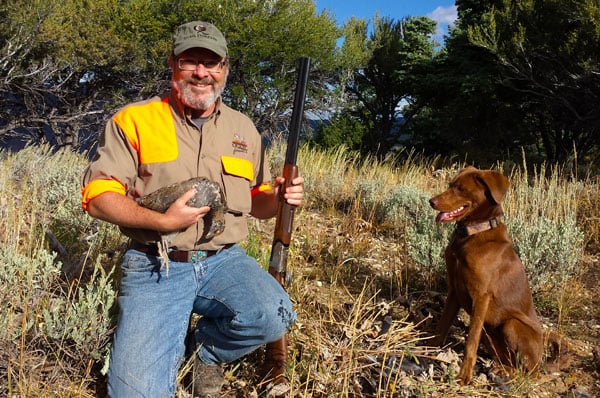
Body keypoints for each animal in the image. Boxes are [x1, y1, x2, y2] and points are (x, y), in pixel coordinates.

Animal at [426, 166, 544, 384]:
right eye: (450, 185)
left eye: (461, 189)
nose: (432, 201)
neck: (473, 234)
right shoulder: (454, 290)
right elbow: (442, 326)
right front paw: (427, 350)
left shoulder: (481, 296)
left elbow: (471, 341)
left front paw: (464, 375)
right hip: (489, 332)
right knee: (505, 359)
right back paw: (501, 368)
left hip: (512, 325)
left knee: (528, 372)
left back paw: (508, 372)